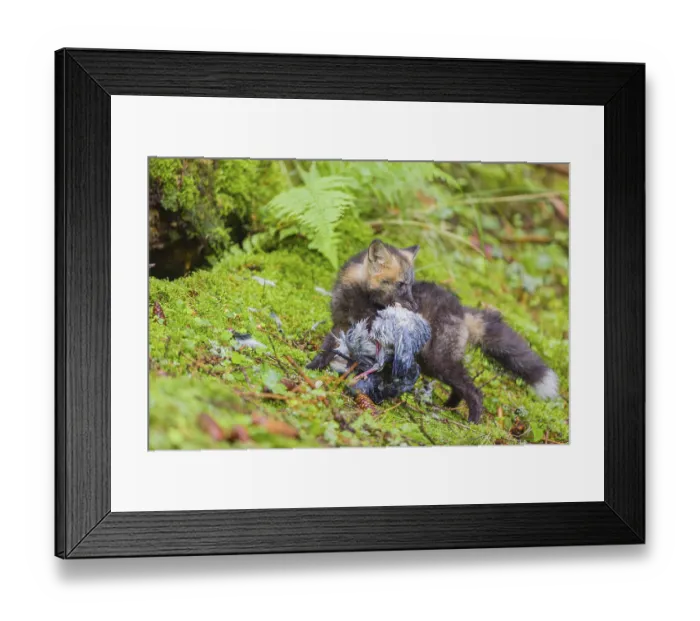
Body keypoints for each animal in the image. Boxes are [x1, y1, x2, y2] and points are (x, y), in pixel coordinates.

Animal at [307, 239, 559, 423]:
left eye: (411, 284)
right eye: (401, 284)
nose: (414, 307)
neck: (360, 301)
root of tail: (461, 310)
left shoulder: (375, 343)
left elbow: (365, 366)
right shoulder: (339, 326)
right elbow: (325, 351)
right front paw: (311, 369)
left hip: (438, 361)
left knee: (475, 391)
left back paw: (472, 422)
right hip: (435, 364)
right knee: (461, 388)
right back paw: (448, 407)